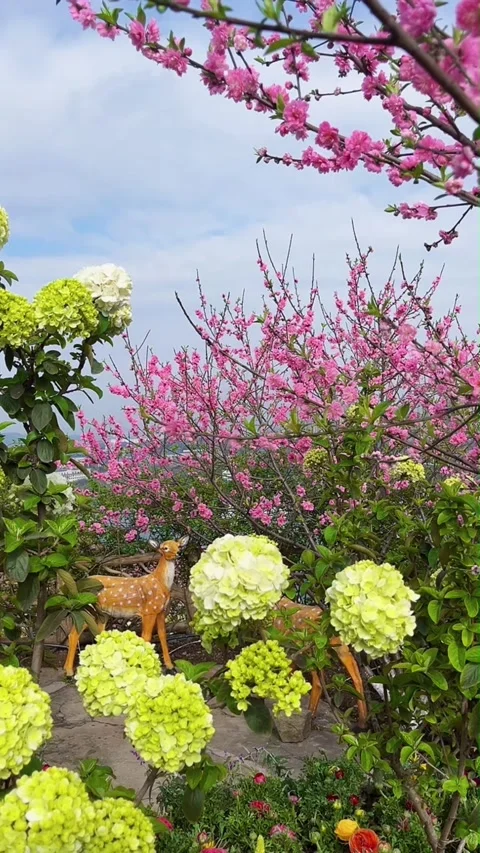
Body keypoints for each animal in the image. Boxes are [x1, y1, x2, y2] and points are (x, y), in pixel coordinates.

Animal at [64, 536, 189, 677]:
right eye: (165, 548)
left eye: (179, 545)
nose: (179, 553)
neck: (161, 584)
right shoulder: (148, 610)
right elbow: (146, 637)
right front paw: (143, 668)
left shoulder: (161, 611)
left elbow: (162, 635)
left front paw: (170, 667)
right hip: (87, 609)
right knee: (73, 634)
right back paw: (69, 672)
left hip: (102, 614)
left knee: (97, 633)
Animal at [272, 598, 368, 729]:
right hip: (340, 649)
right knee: (357, 677)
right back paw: (362, 722)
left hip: (312, 651)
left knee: (317, 683)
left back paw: (310, 716)